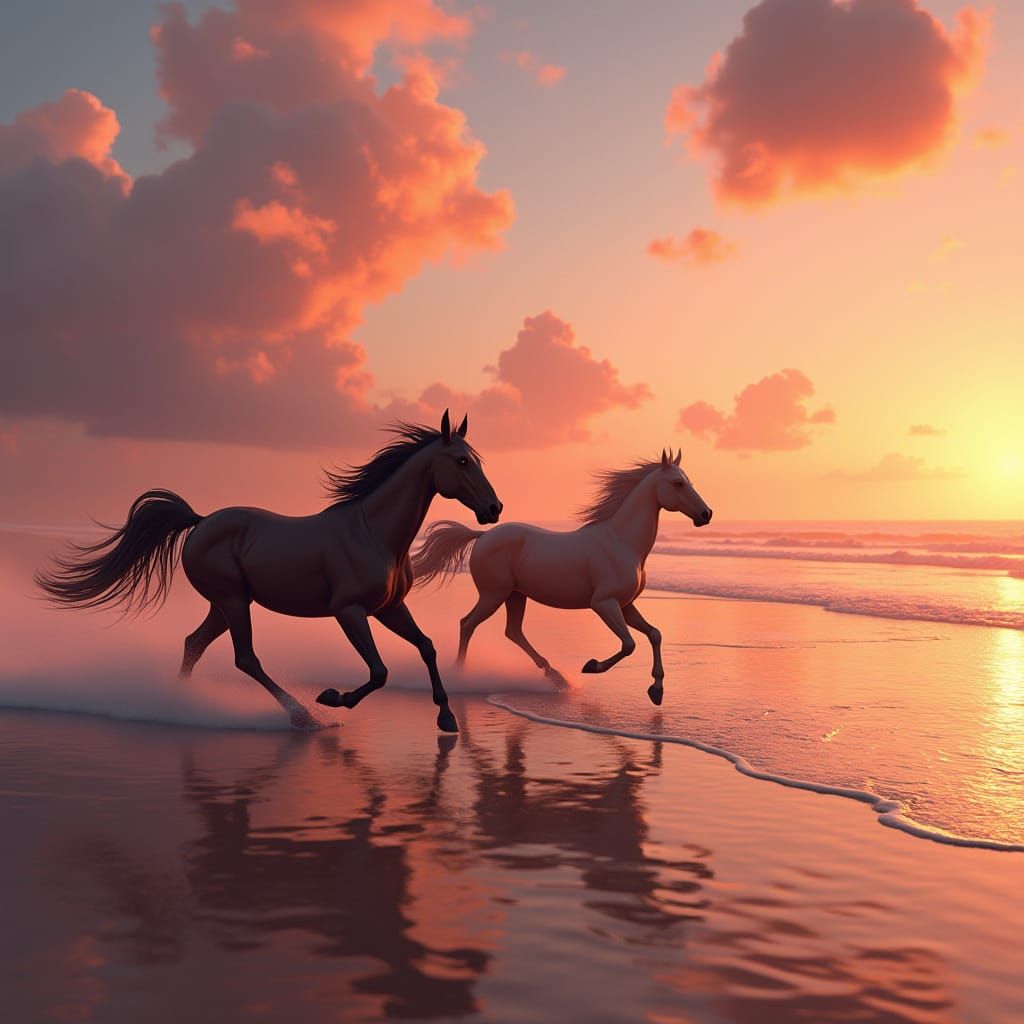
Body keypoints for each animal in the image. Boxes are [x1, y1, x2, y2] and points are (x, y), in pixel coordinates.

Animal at [37, 411, 502, 733]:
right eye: (462, 461)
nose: (494, 508)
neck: (373, 531)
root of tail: (201, 521)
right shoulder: (349, 611)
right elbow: (379, 671)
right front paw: (333, 697)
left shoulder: (389, 608)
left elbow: (426, 647)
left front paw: (446, 717)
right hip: (233, 600)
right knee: (245, 658)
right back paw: (304, 717)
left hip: (223, 605)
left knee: (194, 644)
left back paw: (179, 705)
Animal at [411, 448, 711, 705]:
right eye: (677, 484)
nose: (706, 514)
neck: (622, 542)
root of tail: (483, 535)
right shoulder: (604, 603)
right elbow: (629, 644)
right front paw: (592, 666)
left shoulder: (625, 605)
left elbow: (654, 634)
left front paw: (656, 690)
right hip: (493, 595)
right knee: (467, 624)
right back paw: (459, 677)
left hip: (515, 595)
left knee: (512, 631)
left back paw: (556, 677)